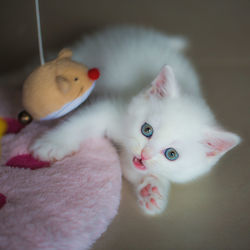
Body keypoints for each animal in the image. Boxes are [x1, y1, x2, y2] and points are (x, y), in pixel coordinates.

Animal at [30, 26, 241, 215]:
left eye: (171, 154)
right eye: (146, 130)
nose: (144, 155)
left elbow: (135, 171)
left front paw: (153, 190)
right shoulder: (113, 108)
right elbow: (83, 122)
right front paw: (52, 144)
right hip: (89, 53)